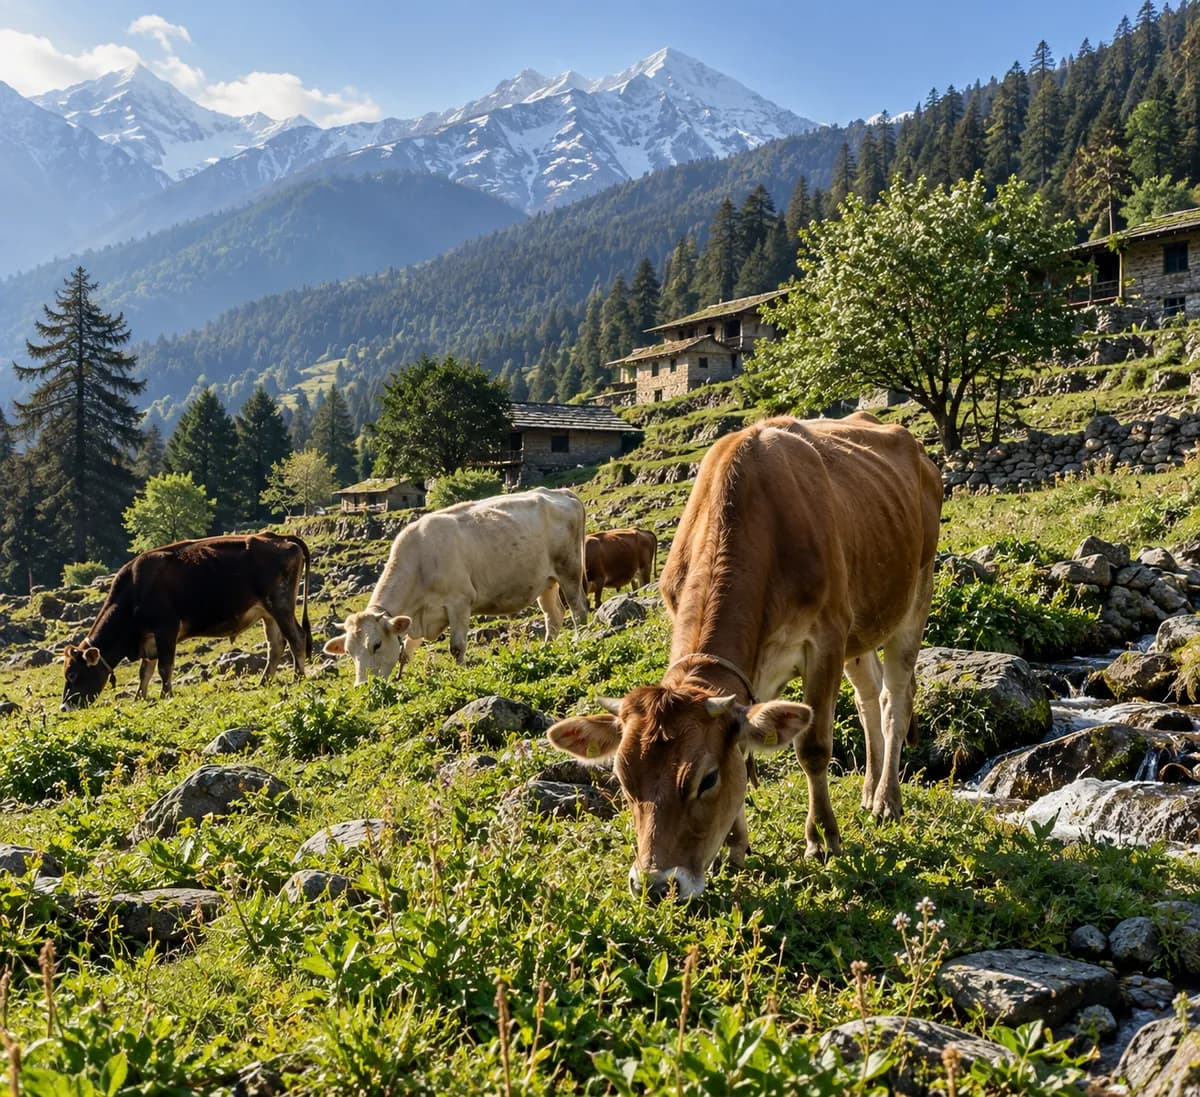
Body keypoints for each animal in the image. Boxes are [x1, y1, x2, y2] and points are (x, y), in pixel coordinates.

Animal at [61, 532, 312, 710]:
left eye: (72, 674)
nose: (65, 707)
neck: (134, 591)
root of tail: (277, 537)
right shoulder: (149, 639)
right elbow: (145, 671)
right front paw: (139, 697)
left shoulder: (166, 629)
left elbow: (164, 667)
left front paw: (166, 695)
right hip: (268, 613)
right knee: (276, 645)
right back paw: (264, 681)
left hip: (280, 604)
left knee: (296, 638)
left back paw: (298, 678)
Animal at [324, 487, 589, 684]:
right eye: (349, 651)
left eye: (376, 644)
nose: (362, 685)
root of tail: (562, 492)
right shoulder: (417, 619)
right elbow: (405, 654)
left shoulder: (460, 602)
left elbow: (457, 647)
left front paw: (460, 674)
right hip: (546, 582)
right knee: (553, 616)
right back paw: (547, 649)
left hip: (570, 569)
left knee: (578, 609)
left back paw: (581, 640)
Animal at [547, 413, 942, 901]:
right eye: (623, 779)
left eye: (706, 779)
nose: (656, 885)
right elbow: (742, 743)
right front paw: (735, 847)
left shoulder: (827, 639)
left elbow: (813, 748)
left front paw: (822, 839)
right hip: (862, 627)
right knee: (868, 700)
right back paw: (869, 792)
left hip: (914, 596)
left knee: (894, 701)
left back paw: (887, 800)